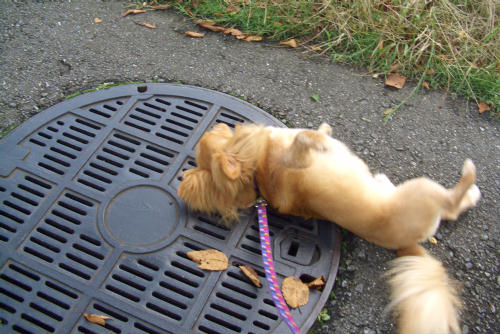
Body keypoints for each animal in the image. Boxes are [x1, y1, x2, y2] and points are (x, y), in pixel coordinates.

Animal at [179, 123, 480, 334]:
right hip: (423, 189)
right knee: (452, 205)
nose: (217, 125)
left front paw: (322, 131)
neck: (255, 174)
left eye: (211, 136)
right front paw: (320, 137)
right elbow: (304, 138)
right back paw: (469, 178)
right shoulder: (298, 157)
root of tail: (408, 245)